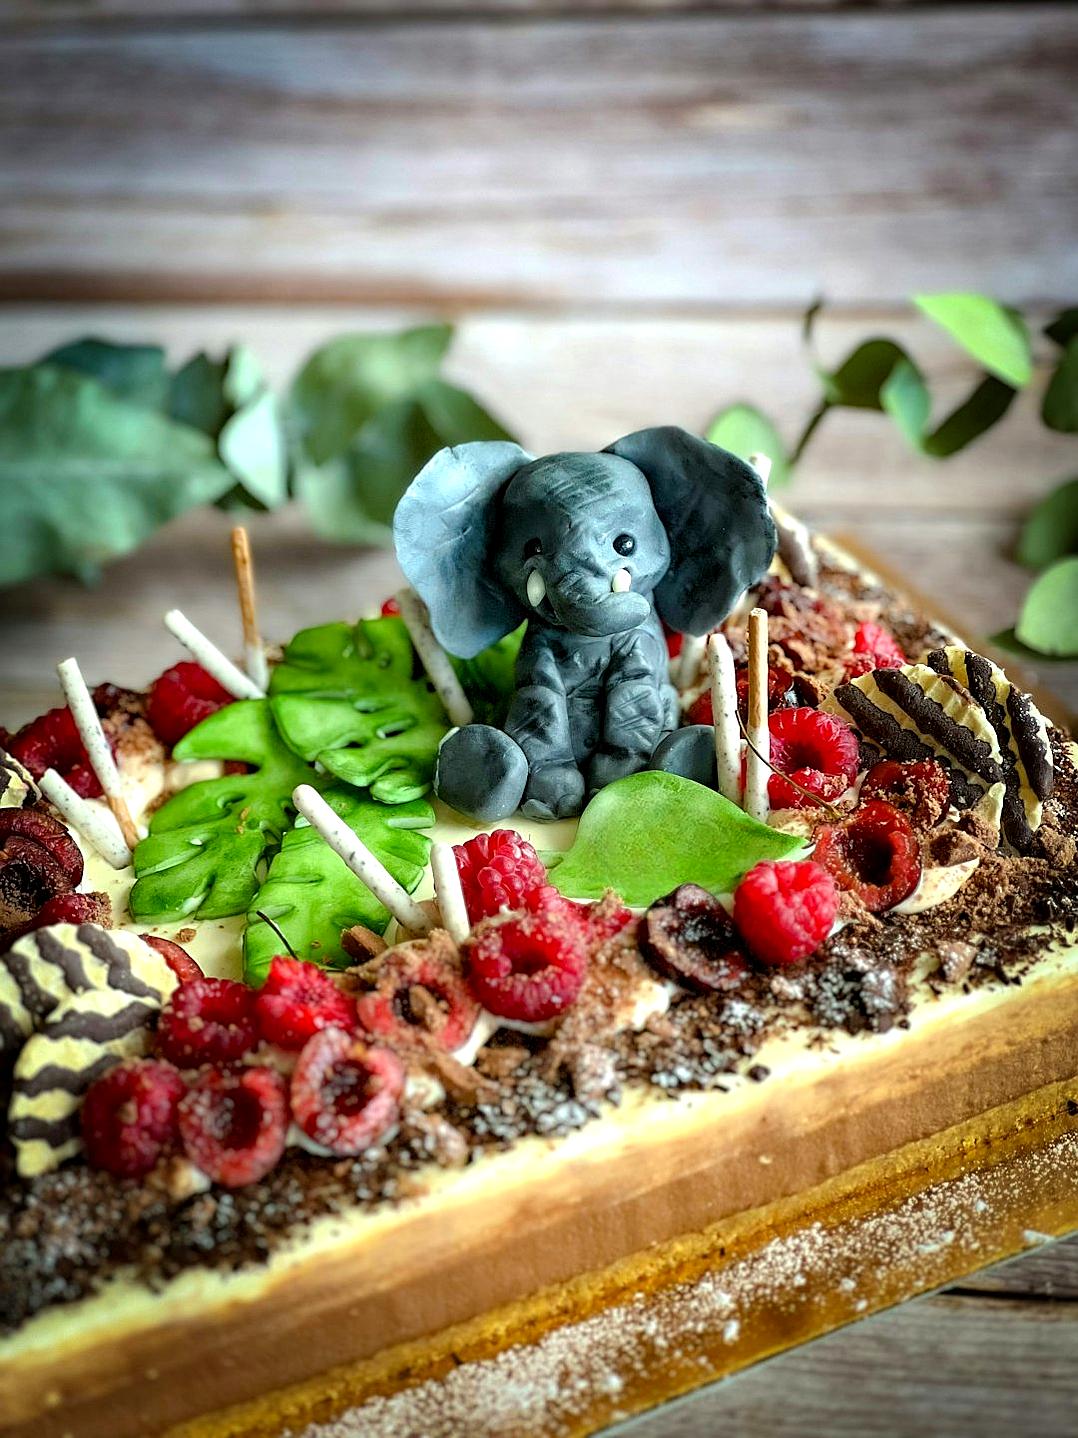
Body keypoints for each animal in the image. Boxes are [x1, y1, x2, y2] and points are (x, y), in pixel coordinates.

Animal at [393, 422, 776, 822]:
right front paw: (550, 802)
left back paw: (685, 756)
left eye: (625, 544)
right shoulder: (538, 648)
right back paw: (480, 763)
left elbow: (632, 693)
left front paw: (610, 786)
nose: (638, 604)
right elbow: (540, 698)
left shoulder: (640, 646)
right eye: (532, 547)